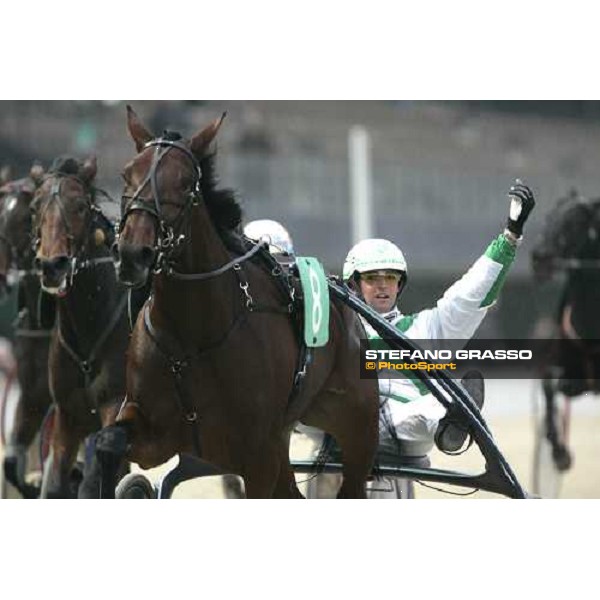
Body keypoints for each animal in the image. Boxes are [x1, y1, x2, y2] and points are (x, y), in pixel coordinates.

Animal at [30, 155, 131, 496]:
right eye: (35, 207)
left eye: (80, 207)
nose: (52, 265)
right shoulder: (68, 416)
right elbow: (57, 483)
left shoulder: (115, 405)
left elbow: (97, 478)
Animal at [99, 105, 380, 500]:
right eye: (127, 173)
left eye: (186, 183)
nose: (132, 254)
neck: (193, 338)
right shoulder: (156, 433)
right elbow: (109, 442)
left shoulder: (257, 453)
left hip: (356, 423)